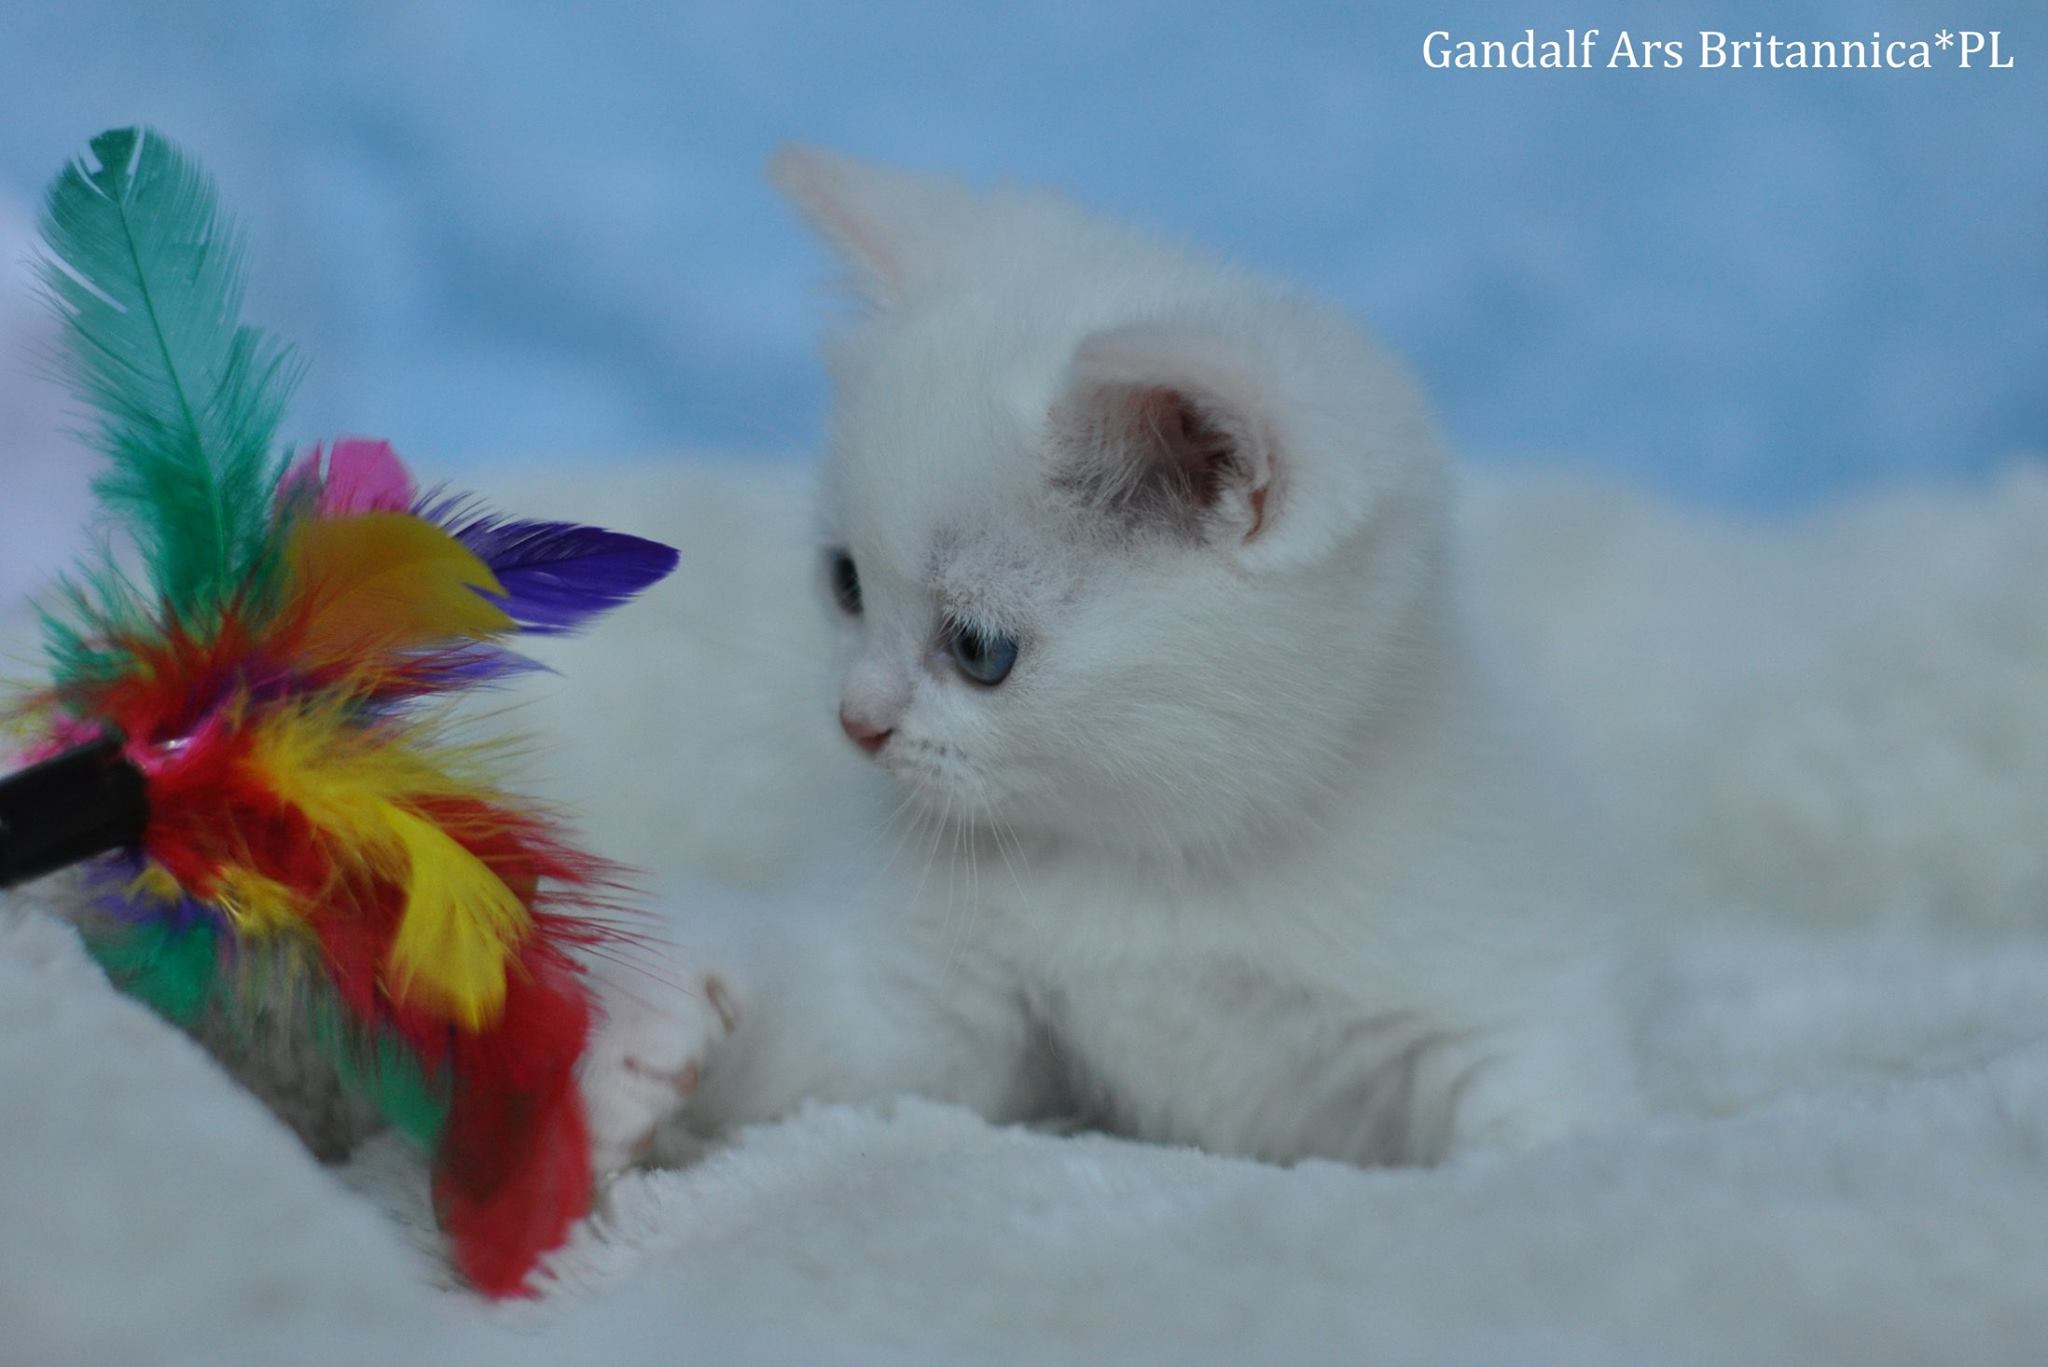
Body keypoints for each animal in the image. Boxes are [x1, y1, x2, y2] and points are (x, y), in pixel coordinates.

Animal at [577, 146, 1647, 1177]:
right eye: (846, 584)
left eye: (980, 650)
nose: (857, 721)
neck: (1162, 867)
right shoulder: (935, 1011)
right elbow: (851, 1046)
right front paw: (659, 1023)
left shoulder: (1525, 995)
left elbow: (1542, 1135)